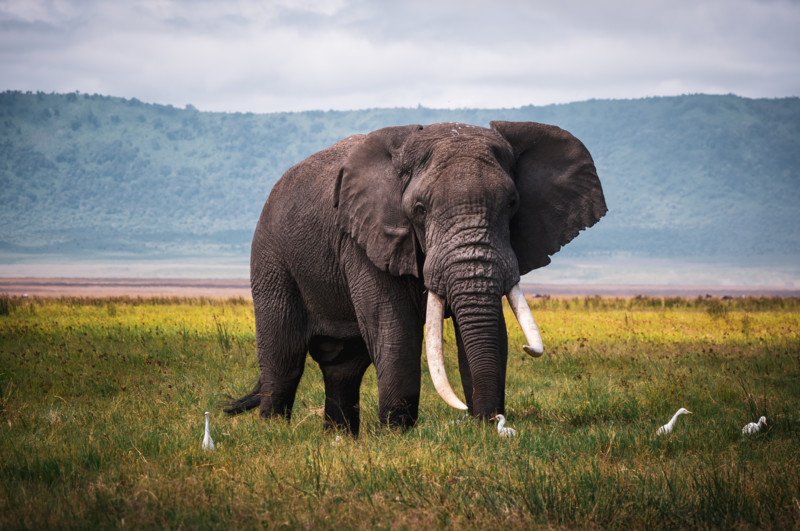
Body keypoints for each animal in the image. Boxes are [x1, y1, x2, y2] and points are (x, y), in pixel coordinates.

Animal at [225, 121, 606, 435]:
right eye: (420, 210)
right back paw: (275, 433)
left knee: (344, 365)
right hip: (272, 257)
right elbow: (394, 328)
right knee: (285, 356)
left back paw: (339, 438)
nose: (494, 422)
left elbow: (491, 329)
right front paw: (397, 437)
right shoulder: (365, 238)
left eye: (512, 205)